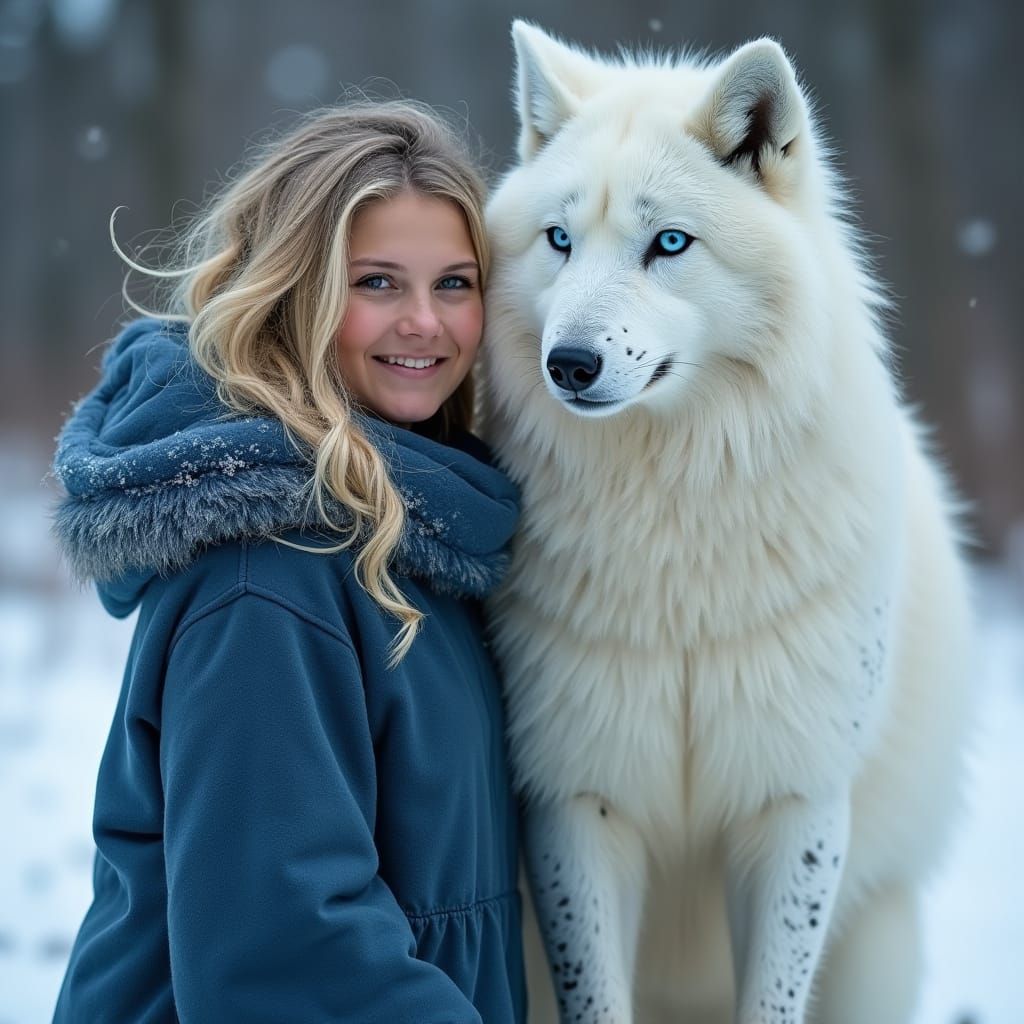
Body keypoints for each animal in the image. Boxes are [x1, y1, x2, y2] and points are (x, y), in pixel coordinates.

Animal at [482, 21, 973, 1024]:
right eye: (559, 241)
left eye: (669, 243)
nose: (569, 364)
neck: (672, 523)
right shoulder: (574, 798)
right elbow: (596, 993)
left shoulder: (795, 806)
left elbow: (774, 996)